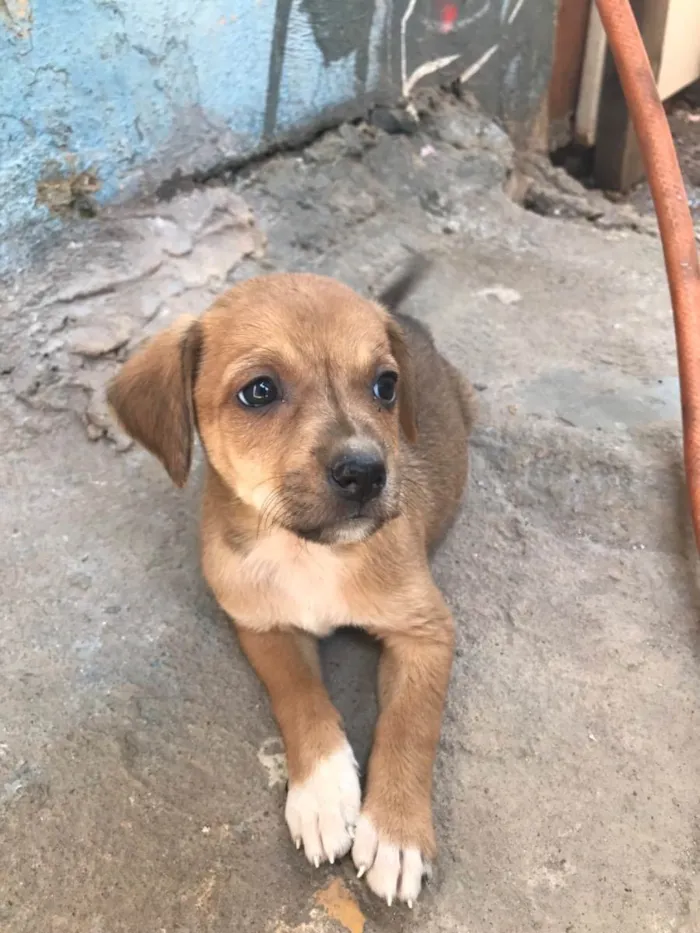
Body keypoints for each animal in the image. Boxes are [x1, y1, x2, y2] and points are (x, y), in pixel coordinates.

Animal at [108, 258, 476, 908]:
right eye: (260, 391)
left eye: (385, 385)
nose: (366, 473)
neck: (307, 551)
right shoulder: (261, 624)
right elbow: (300, 698)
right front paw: (325, 796)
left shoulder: (426, 629)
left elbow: (411, 725)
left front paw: (397, 833)